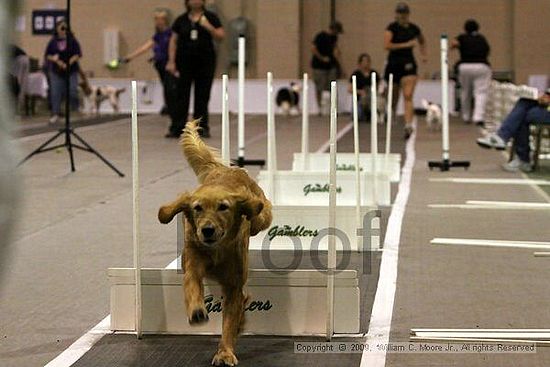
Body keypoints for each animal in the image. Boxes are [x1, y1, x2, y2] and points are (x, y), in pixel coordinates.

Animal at [158, 121, 272, 367]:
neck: (217, 250)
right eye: (197, 208)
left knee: (259, 217)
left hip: (263, 214)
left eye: (223, 207)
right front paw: (197, 311)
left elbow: (229, 322)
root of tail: (227, 168)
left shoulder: (233, 286)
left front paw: (225, 352)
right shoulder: (193, 264)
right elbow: (192, 286)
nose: (207, 230)